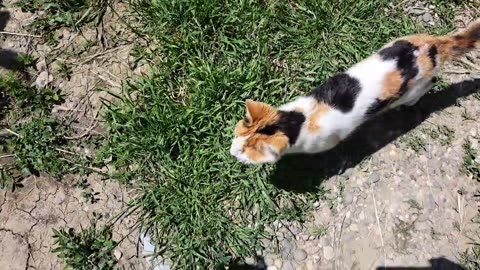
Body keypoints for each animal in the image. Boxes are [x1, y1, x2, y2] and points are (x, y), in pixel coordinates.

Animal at [230, 19, 480, 165]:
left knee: (429, 85)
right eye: (236, 136)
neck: (298, 120)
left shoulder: (328, 141)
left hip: (415, 88)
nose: (231, 152)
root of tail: (433, 46)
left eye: (244, 152)